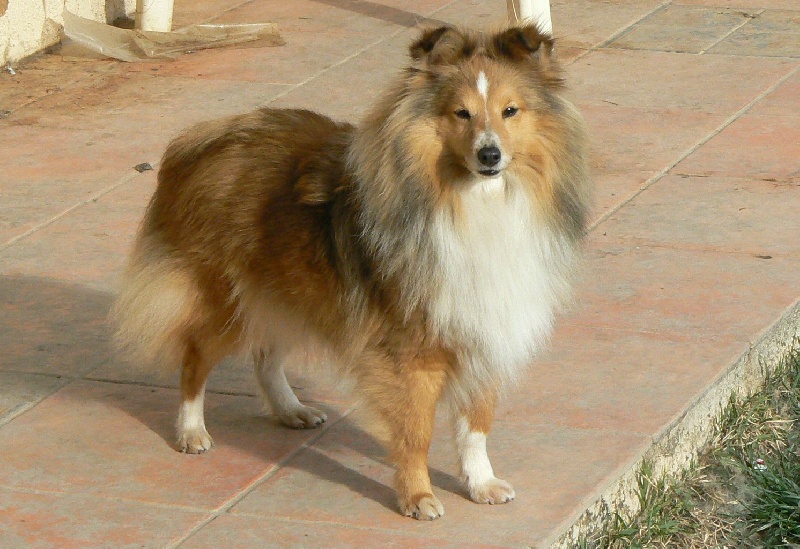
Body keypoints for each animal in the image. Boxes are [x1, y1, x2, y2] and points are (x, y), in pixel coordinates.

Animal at [110, 23, 591, 520]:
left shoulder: (487, 327)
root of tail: (204, 137)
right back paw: (191, 432)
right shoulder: (411, 350)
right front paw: (417, 498)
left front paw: (481, 484)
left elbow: (476, 425)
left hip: (290, 291)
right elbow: (416, 432)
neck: (474, 202)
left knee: (265, 356)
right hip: (227, 299)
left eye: (510, 111)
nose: (490, 155)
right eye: (461, 113)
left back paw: (292, 410)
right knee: (195, 358)